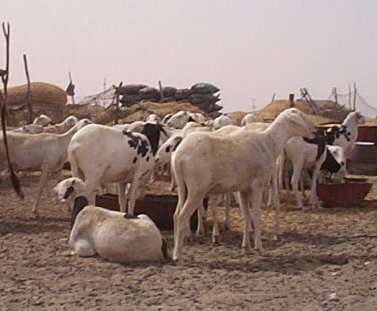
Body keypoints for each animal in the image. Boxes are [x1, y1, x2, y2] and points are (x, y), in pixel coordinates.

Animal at [170, 108, 314, 262]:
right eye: (301, 116)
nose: (315, 130)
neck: (269, 142)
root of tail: (179, 156)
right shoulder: (257, 185)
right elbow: (256, 215)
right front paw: (259, 248)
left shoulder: (244, 189)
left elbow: (246, 215)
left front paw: (246, 247)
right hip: (197, 188)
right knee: (182, 217)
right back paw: (178, 256)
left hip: (183, 187)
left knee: (176, 215)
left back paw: (176, 251)